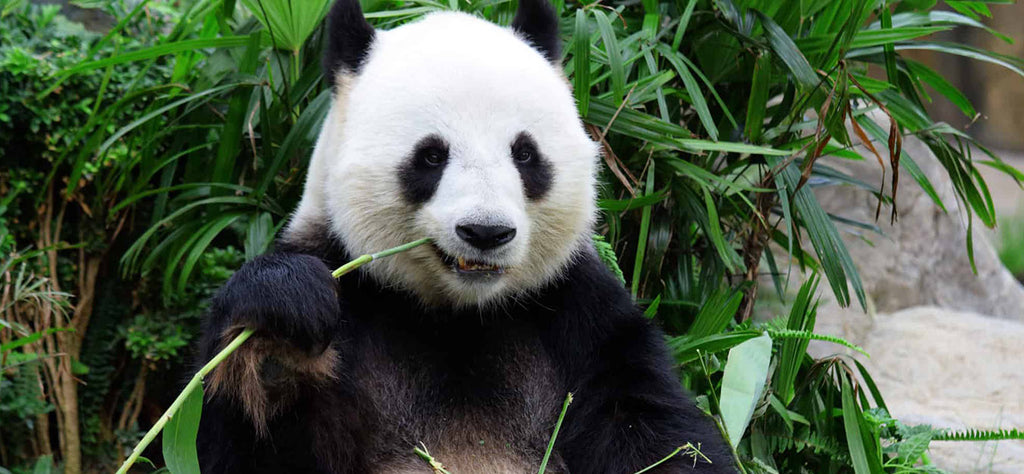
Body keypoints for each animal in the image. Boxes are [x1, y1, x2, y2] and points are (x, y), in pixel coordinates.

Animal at [196, 0, 735, 472]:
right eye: (431, 156)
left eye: (525, 154)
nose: (486, 231)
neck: (458, 316)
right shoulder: (348, 289)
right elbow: (243, 444)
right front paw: (280, 335)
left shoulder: (581, 317)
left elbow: (658, 434)